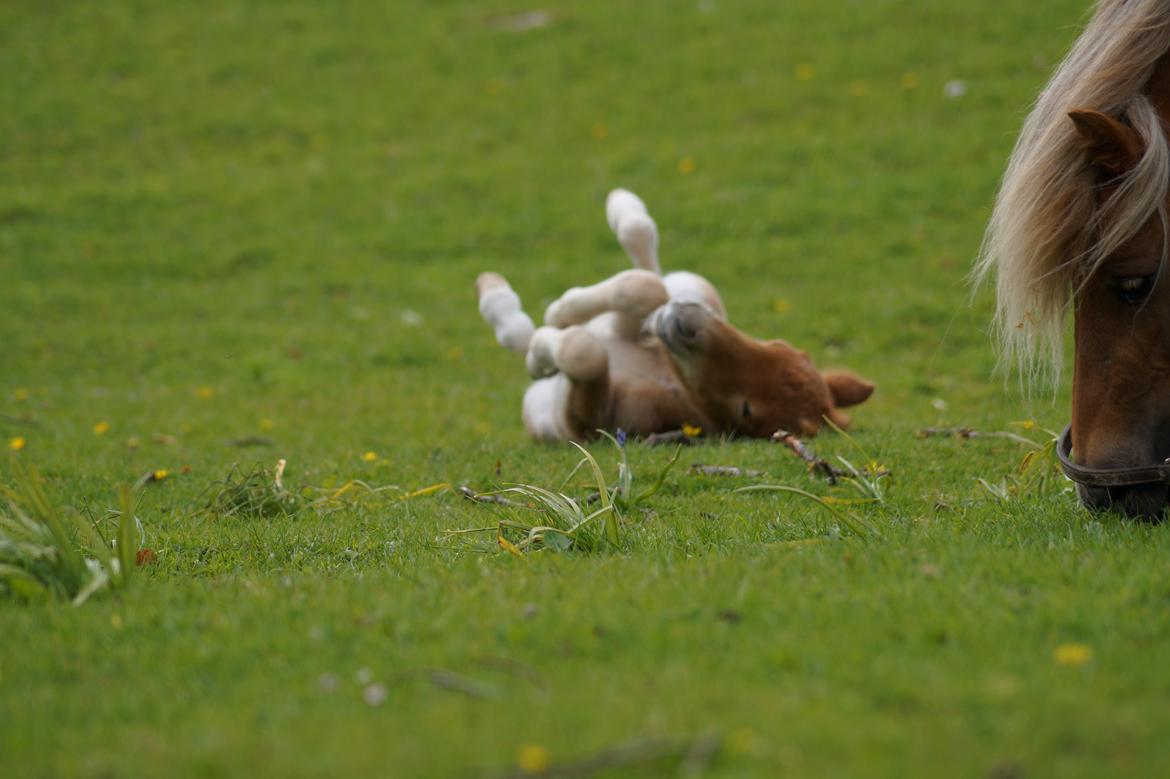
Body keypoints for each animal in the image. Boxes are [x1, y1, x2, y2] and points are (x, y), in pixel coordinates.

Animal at [475, 189, 870, 442]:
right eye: (777, 345)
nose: (685, 326)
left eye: (745, 410)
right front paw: (558, 313)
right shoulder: (642, 321)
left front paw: (541, 349)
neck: (667, 377)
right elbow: (642, 287)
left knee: (524, 336)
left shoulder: (583, 422)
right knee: (648, 258)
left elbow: (583, 351)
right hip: (696, 287)